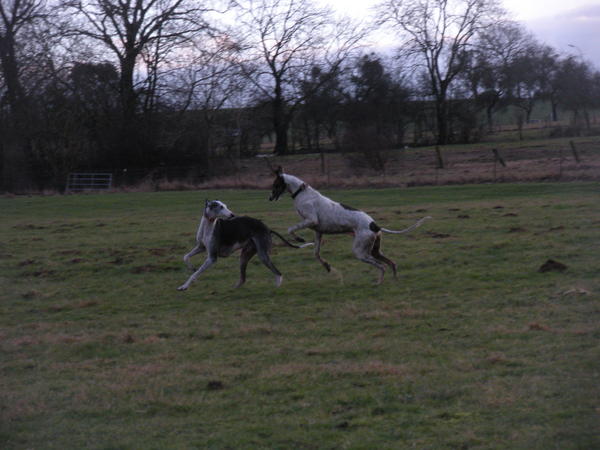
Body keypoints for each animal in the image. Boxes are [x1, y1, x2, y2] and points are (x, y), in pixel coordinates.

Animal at [268, 167, 432, 284]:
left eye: (275, 184)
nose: (269, 198)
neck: (302, 193)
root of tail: (375, 225)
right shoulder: (318, 232)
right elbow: (316, 253)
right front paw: (327, 266)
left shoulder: (311, 221)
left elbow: (291, 229)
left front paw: (299, 239)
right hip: (375, 250)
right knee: (392, 263)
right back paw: (394, 281)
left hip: (360, 252)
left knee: (382, 266)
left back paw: (379, 282)